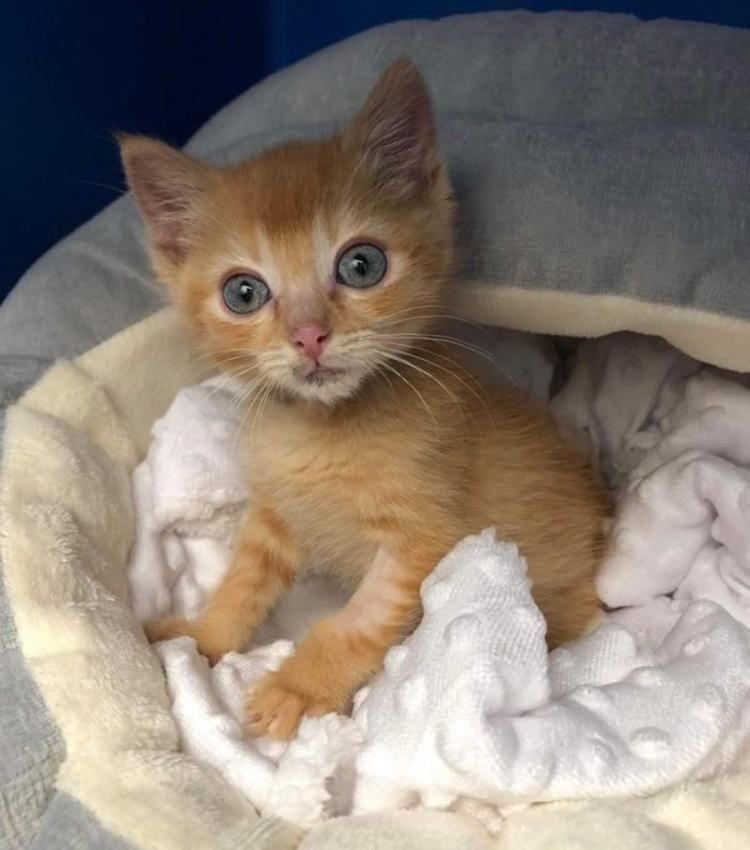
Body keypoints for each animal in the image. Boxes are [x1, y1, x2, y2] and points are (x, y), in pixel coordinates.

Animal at [120, 58, 608, 736]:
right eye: (243, 293)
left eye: (361, 265)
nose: (309, 335)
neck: (325, 429)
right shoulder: (275, 515)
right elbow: (241, 583)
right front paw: (203, 638)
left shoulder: (420, 539)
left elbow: (354, 624)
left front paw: (297, 688)